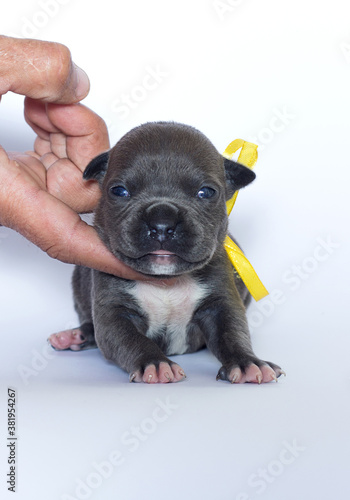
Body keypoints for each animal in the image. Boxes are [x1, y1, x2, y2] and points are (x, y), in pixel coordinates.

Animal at [48, 121, 284, 382]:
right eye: (119, 191)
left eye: (206, 192)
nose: (162, 223)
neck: (166, 282)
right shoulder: (113, 312)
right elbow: (131, 340)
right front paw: (155, 363)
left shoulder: (221, 302)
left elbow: (232, 334)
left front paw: (247, 363)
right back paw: (74, 336)